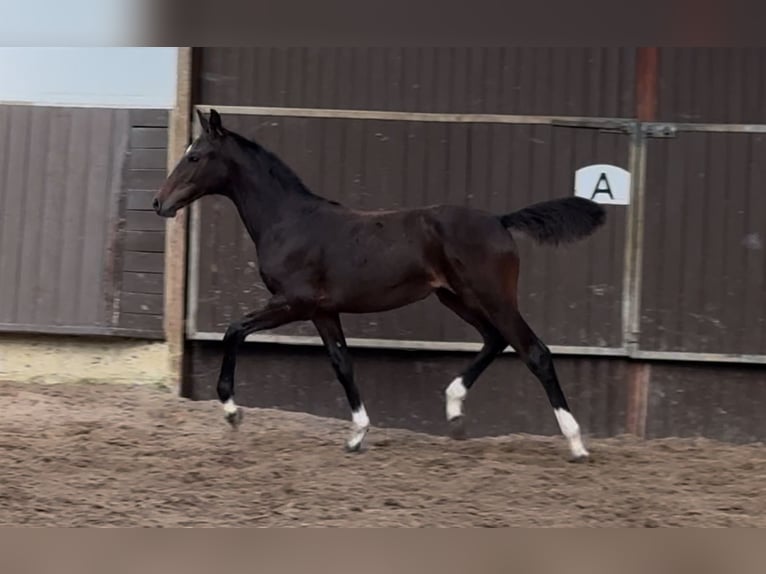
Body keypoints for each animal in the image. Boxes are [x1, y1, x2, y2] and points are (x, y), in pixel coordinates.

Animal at [154, 109, 608, 464]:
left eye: (195, 156)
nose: (160, 203)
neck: (289, 221)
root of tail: (500, 220)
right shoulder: (323, 310)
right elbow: (342, 363)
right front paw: (357, 434)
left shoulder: (293, 302)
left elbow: (235, 330)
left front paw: (232, 412)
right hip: (456, 297)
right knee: (496, 340)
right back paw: (454, 412)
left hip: (492, 296)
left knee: (535, 352)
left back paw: (576, 444)